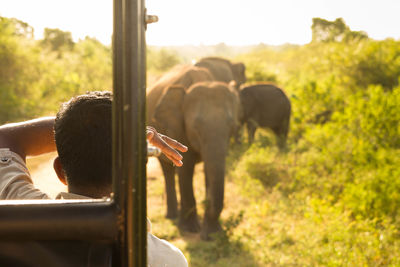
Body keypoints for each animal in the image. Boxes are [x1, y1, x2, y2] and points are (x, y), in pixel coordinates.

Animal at [148, 80, 239, 241]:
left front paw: (212, 233)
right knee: (167, 170)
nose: (207, 237)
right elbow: (186, 168)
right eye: (196, 126)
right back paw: (173, 216)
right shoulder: (179, 127)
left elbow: (209, 170)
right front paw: (190, 229)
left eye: (232, 126)